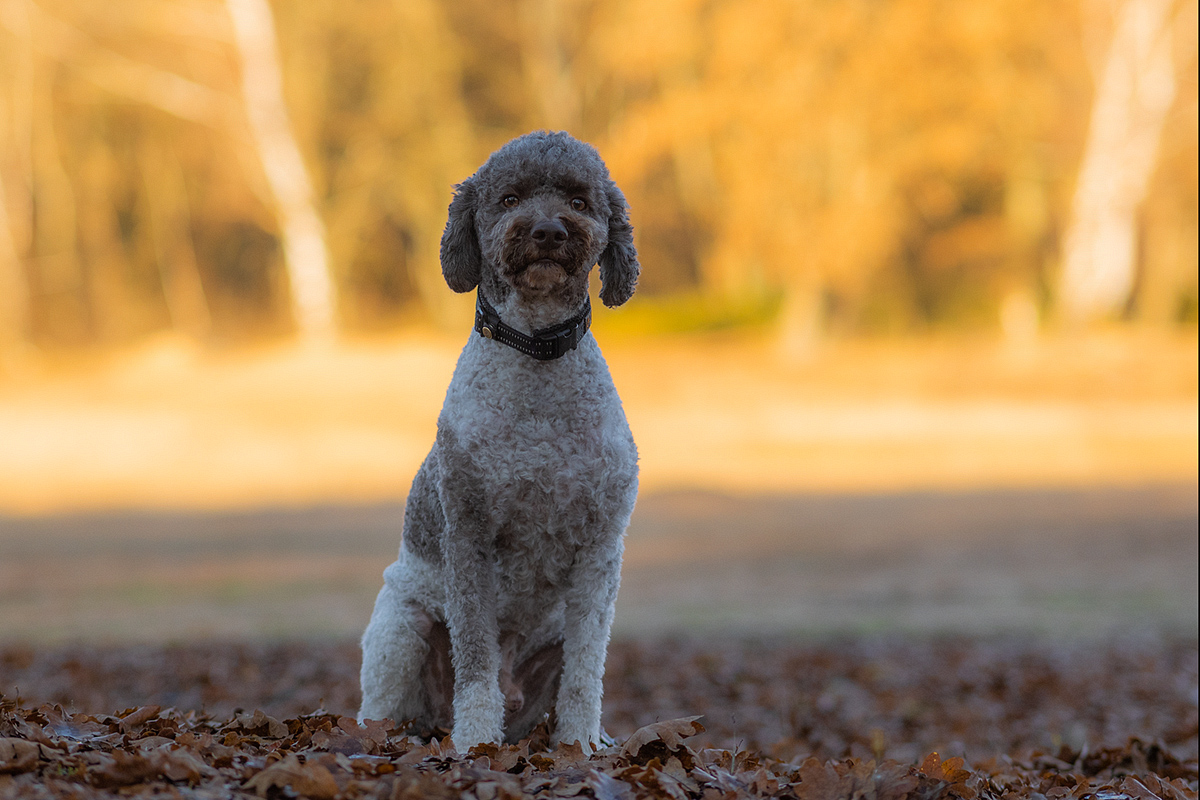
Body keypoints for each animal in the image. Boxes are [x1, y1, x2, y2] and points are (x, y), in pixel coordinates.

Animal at [357, 131, 643, 753]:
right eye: (509, 198)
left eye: (580, 201)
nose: (549, 231)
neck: (536, 356)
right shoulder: (469, 535)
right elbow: (475, 660)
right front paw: (474, 742)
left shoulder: (601, 551)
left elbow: (587, 671)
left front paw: (581, 745)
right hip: (400, 627)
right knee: (381, 707)